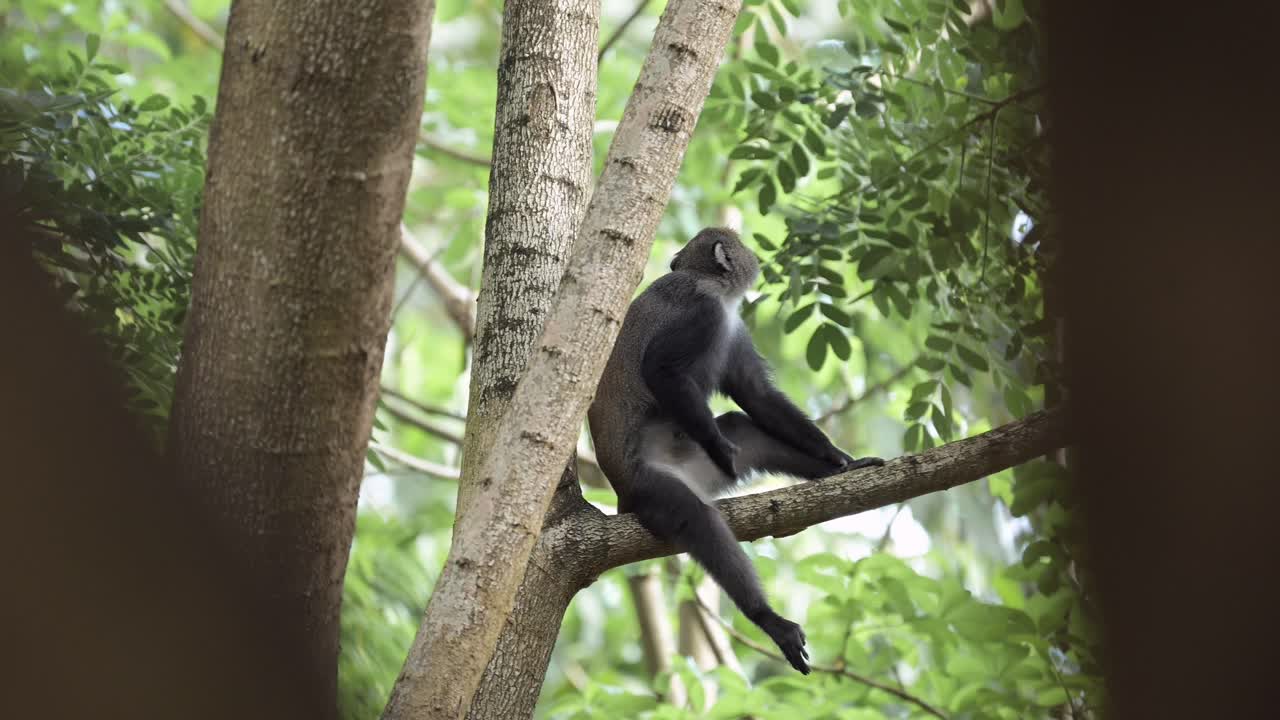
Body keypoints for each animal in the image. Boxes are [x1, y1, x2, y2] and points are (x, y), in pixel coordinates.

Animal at [588, 227, 884, 674]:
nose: (672, 258)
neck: (714, 285)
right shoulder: (703, 310)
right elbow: (662, 370)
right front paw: (717, 445)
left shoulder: (733, 328)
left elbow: (755, 394)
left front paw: (838, 457)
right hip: (650, 483)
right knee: (698, 520)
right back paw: (768, 618)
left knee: (747, 430)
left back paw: (838, 474)